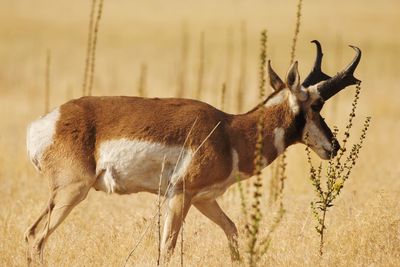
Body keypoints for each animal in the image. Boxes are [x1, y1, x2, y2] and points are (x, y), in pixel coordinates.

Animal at [25, 40, 360, 264]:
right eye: (316, 105)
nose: (335, 146)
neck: (229, 131)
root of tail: (47, 121)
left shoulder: (204, 199)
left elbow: (232, 230)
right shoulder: (181, 194)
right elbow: (168, 248)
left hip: (64, 194)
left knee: (30, 234)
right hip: (72, 191)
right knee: (37, 236)